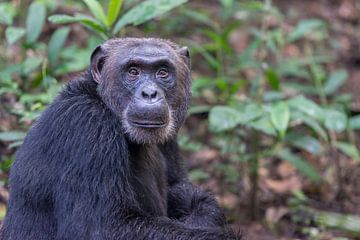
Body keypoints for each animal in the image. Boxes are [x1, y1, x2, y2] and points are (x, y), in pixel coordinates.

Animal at [1, 38, 242, 239]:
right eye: (133, 71)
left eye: (163, 72)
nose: (149, 93)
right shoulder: (87, 127)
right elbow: (104, 227)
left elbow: (178, 185)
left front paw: (202, 208)